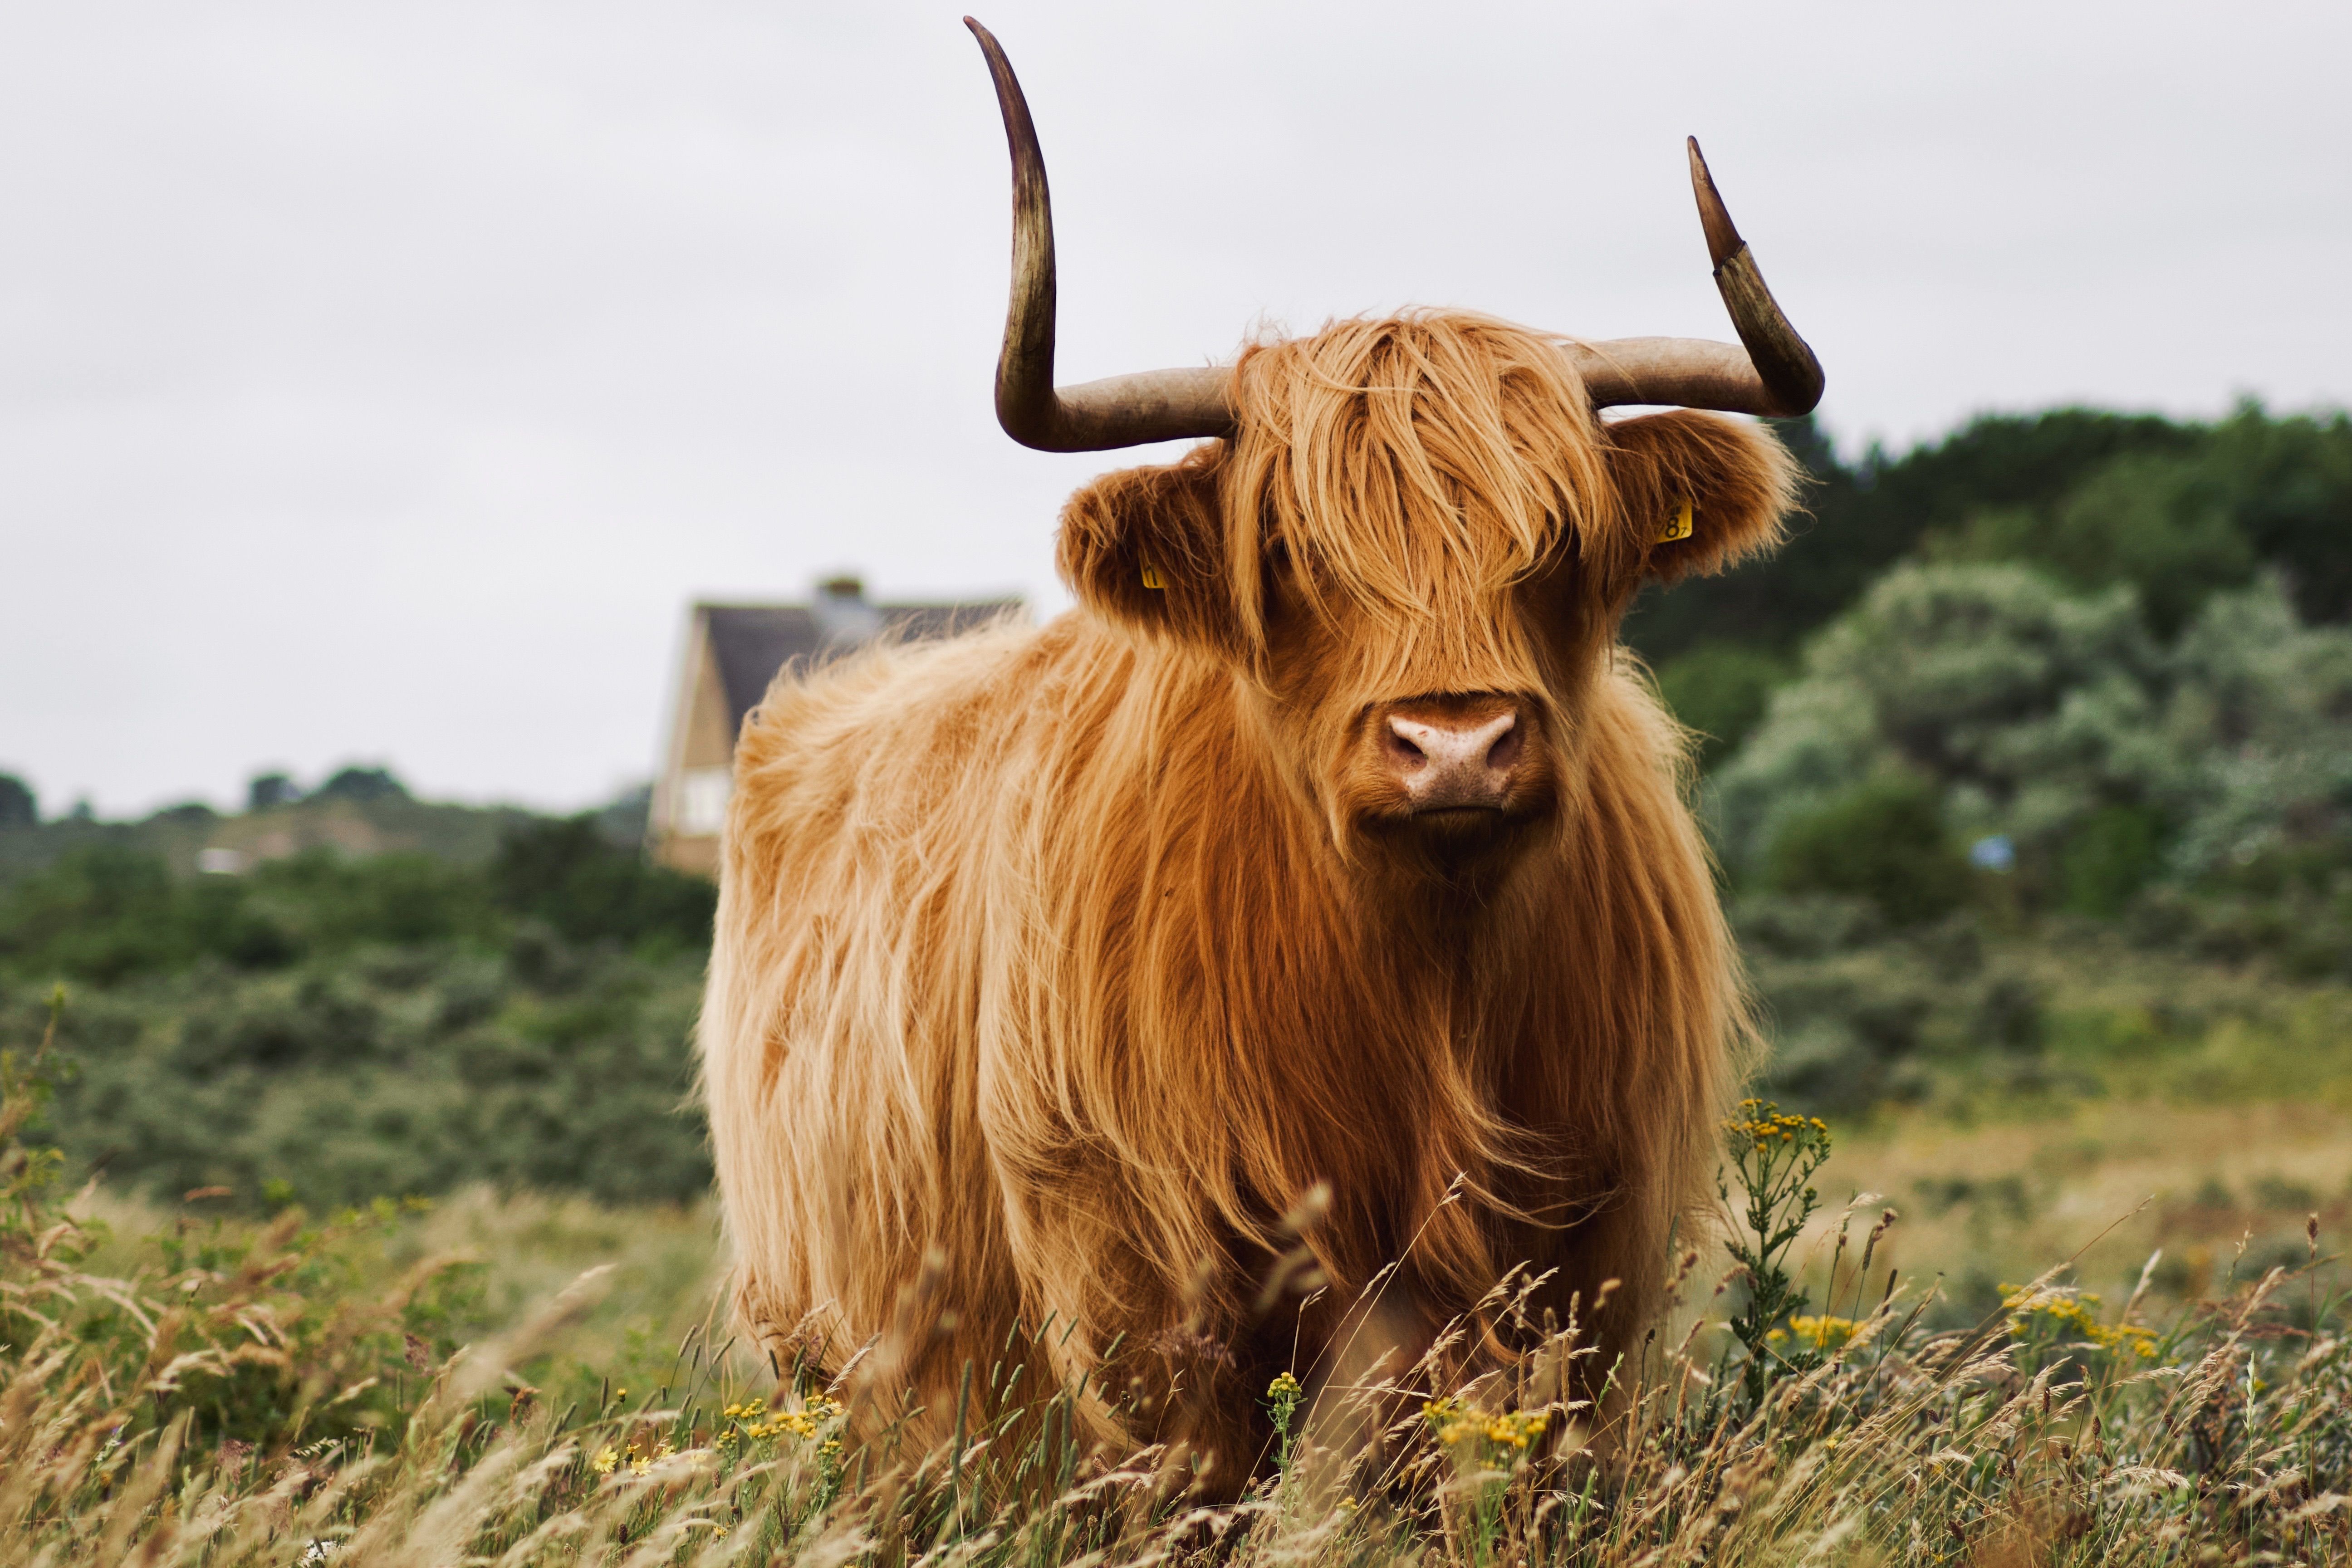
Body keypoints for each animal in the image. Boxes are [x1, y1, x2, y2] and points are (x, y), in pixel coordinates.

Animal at [699, 17, 1819, 1490]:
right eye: (1290, 553)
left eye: (1567, 544)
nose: (1454, 743)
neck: (1425, 1000)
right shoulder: (1149, 1312)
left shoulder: (1578, 1286)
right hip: (834, 1373)